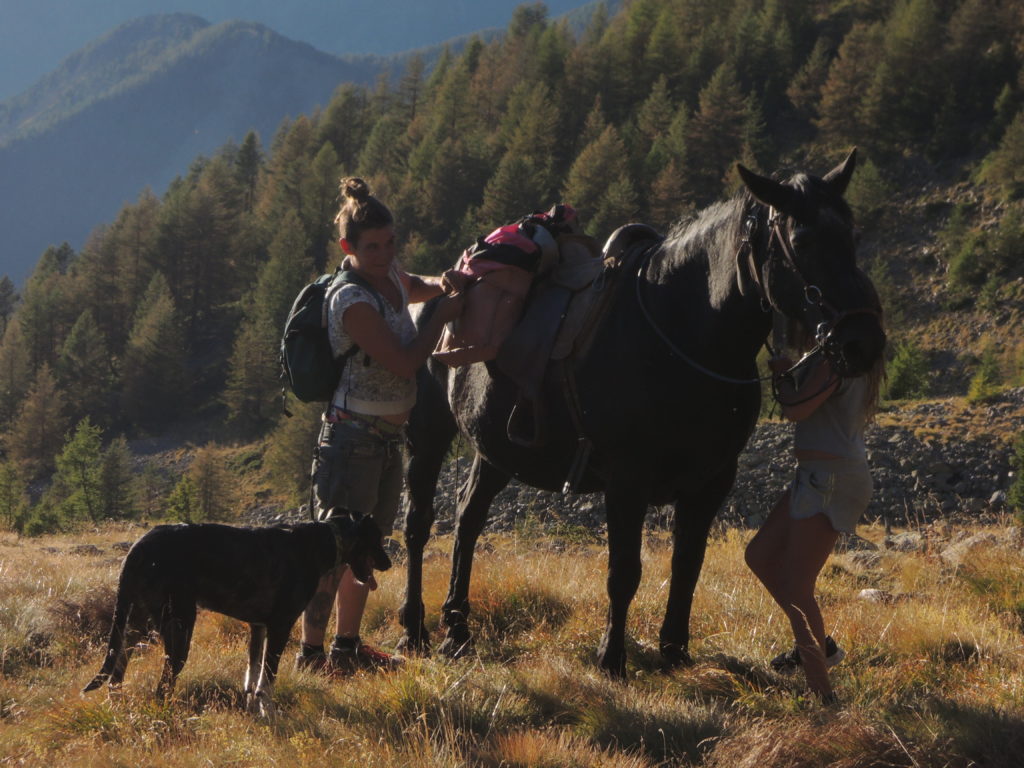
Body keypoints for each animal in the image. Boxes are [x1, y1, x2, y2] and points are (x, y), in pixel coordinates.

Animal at [80, 514, 387, 720]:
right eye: (379, 540)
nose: (389, 562)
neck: (323, 540)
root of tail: (139, 547)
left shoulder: (258, 626)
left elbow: (252, 674)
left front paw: (253, 709)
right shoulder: (280, 626)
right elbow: (267, 680)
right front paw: (269, 713)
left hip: (133, 627)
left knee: (116, 677)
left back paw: (119, 711)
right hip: (178, 630)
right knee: (163, 686)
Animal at [395, 148, 884, 671]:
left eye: (852, 237)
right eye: (802, 240)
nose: (862, 342)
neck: (681, 333)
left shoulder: (712, 481)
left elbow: (687, 565)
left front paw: (674, 652)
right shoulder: (627, 479)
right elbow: (624, 571)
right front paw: (612, 659)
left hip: (495, 451)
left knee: (468, 518)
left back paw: (457, 628)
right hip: (427, 436)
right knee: (419, 525)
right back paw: (414, 629)